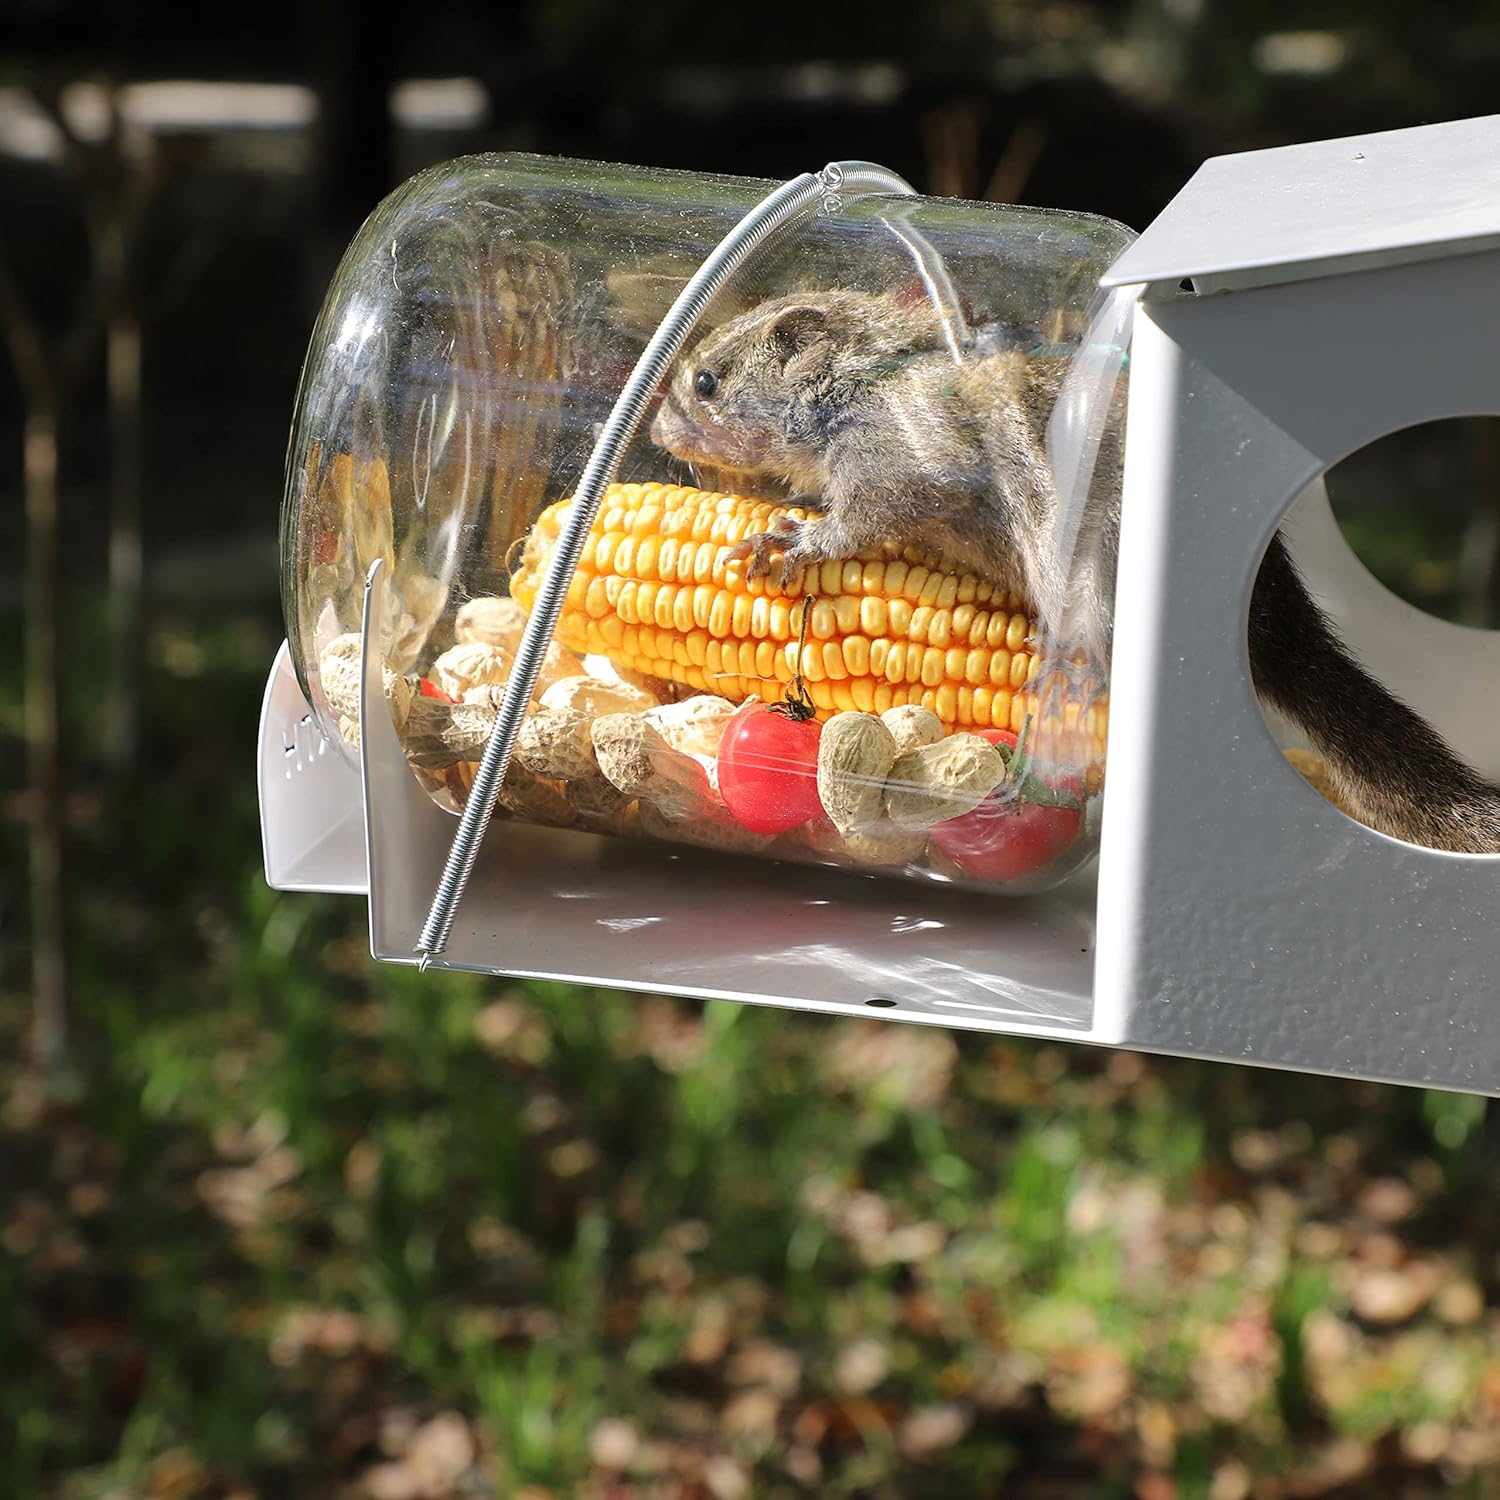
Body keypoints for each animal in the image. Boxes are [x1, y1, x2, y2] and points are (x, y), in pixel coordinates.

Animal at [649, 287, 1500, 854]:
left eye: (707, 381)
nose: (656, 432)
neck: (868, 375)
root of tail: (1269, 616)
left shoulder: (906, 456)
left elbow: (867, 518)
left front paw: (791, 543)